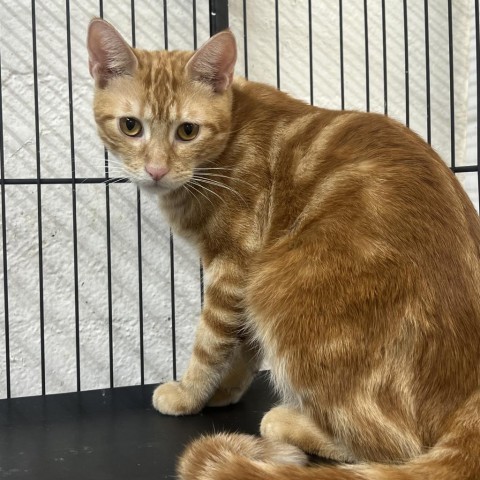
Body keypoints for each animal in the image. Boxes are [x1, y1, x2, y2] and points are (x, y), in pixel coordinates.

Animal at [87, 17, 480, 476]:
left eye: (187, 130)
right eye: (130, 126)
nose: (155, 170)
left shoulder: (235, 262)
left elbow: (211, 341)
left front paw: (189, 393)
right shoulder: (242, 277)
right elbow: (244, 341)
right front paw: (226, 390)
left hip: (280, 287)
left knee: (395, 444)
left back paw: (287, 422)